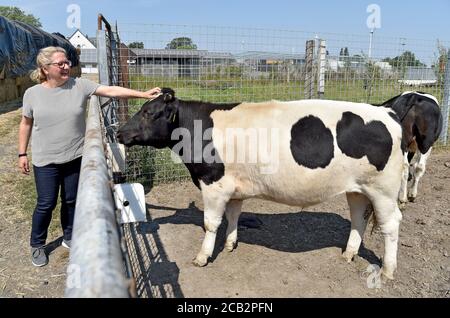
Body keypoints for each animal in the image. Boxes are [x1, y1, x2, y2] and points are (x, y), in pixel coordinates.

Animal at [117, 88, 404, 280]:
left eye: (148, 112)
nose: (119, 132)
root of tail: (386, 110)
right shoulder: (234, 188)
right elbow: (233, 216)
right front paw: (230, 244)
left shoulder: (213, 184)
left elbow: (210, 223)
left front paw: (202, 257)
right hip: (358, 189)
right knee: (358, 217)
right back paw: (348, 253)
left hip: (383, 190)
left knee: (391, 224)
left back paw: (388, 270)